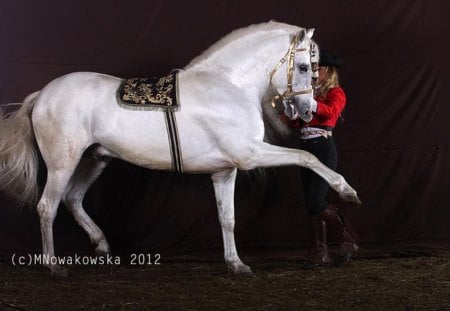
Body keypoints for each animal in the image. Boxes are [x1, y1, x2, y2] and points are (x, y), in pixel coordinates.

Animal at [0, 22, 358, 276]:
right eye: (304, 67)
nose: (308, 110)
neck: (228, 86)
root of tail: (42, 96)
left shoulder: (225, 170)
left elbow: (227, 218)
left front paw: (236, 265)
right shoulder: (249, 153)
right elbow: (306, 155)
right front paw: (347, 190)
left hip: (95, 159)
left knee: (73, 199)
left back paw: (101, 246)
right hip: (63, 161)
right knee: (48, 206)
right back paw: (53, 267)